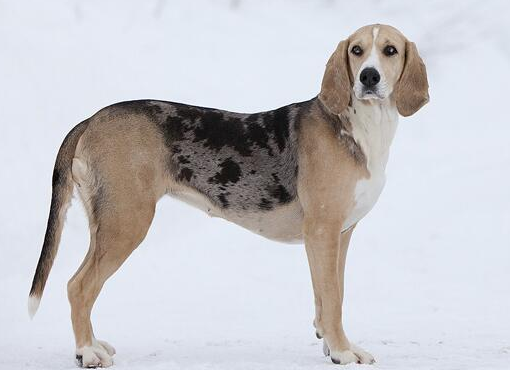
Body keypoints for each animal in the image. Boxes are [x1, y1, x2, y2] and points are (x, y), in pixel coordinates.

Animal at [26, 23, 426, 368]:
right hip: (126, 223)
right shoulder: (324, 231)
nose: (368, 77)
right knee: (79, 286)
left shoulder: (337, 236)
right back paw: (87, 352)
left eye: (390, 50)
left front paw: (331, 344)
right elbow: (334, 299)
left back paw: (94, 343)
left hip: (108, 224)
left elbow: (327, 297)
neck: (361, 127)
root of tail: (91, 119)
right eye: (357, 51)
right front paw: (343, 352)